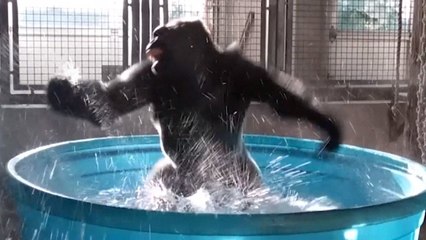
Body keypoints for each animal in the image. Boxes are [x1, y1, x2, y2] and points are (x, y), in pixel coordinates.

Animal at [46, 19, 342, 198]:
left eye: (163, 33)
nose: (153, 37)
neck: (196, 72)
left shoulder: (242, 71)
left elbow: (281, 98)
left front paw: (328, 126)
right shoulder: (149, 76)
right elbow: (111, 102)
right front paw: (61, 93)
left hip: (241, 176)